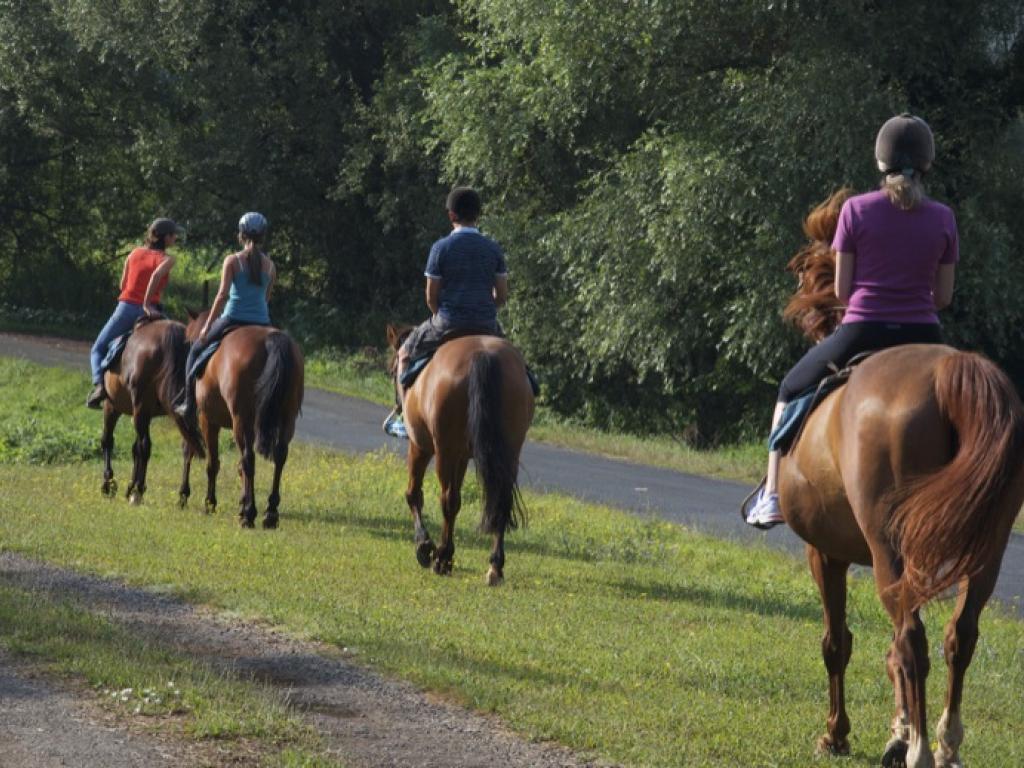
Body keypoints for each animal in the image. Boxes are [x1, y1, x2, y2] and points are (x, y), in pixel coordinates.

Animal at [100, 317, 204, 505]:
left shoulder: (112, 406)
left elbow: (108, 441)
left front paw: (109, 484)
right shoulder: (142, 413)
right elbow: (135, 449)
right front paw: (128, 486)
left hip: (136, 408)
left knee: (145, 445)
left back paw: (138, 491)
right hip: (183, 413)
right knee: (187, 448)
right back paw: (182, 495)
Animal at [184, 311, 303, 528]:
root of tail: (271, 339)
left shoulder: (208, 420)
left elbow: (213, 463)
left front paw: (210, 503)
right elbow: (238, 467)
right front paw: (241, 503)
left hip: (241, 420)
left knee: (249, 459)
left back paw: (250, 514)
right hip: (286, 419)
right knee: (279, 456)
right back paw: (270, 513)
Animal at [385, 325, 536, 589]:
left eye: (393, 370)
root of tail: (483, 355)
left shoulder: (420, 446)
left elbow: (413, 494)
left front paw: (424, 546)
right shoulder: (463, 457)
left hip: (444, 450)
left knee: (448, 499)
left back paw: (442, 557)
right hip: (508, 451)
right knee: (500, 500)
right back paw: (495, 567)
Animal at [778, 188, 1019, 768]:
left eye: (805, 274)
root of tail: (952, 373)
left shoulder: (825, 551)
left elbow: (837, 641)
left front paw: (838, 734)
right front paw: (899, 728)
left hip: (889, 546)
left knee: (913, 639)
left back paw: (923, 751)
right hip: (987, 547)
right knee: (959, 635)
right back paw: (946, 743)